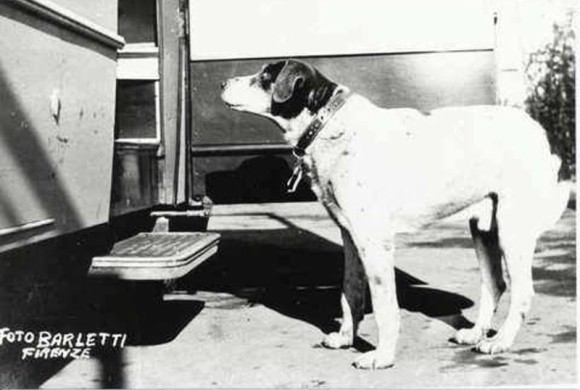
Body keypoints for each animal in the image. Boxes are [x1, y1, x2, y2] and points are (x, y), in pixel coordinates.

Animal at [220, 59, 568, 370]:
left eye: (266, 76)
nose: (222, 83)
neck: (328, 124)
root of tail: (539, 132)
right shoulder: (351, 238)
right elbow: (350, 293)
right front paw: (346, 339)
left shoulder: (374, 242)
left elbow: (385, 306)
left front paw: (382, 357)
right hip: (483, 229)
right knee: (495, 284)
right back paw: (475, 334)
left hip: (512, 230)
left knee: (522, 291)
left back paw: (501, 341)